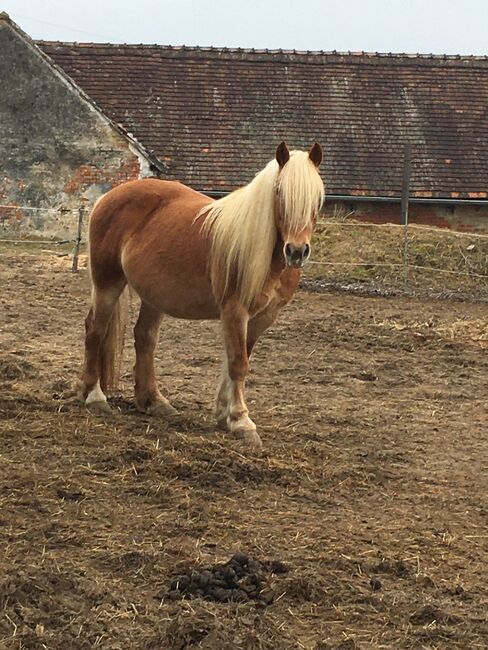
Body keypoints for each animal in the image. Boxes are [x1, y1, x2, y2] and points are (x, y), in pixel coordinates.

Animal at [80, 141, 324, 446]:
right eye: (279, 192)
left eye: (318, 197)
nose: (296, 251)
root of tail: (107, 198)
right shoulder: (235, 311)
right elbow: (238, 363)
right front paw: (241, 421)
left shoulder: (261, 318)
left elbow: (236, 359)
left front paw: (223, 414)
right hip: (107, 283)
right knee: (95, 330)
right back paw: (94, 397)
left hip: (154, 296)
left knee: (145, 338)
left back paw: (153, 401)